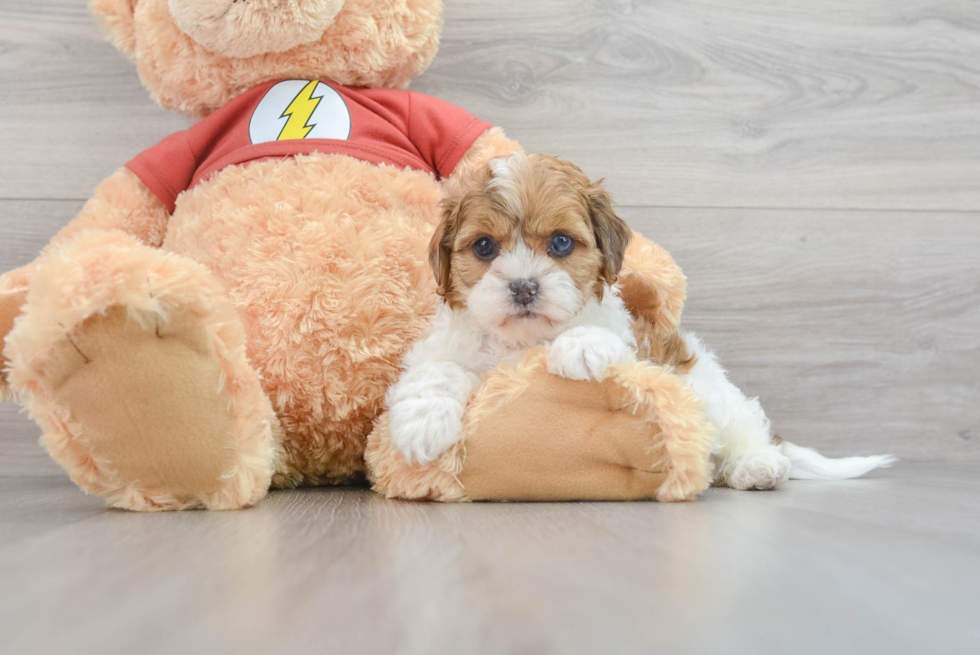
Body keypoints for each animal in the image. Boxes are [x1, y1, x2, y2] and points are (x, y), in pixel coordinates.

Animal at [386, 154, 892, 490]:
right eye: (484, 247)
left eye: (561, 243)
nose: (524, 287)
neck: (521, 341)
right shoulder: (445, 347)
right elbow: (436, 371)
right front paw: (421, 423)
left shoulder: (632, 344)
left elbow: (599, 336)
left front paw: (579, 346)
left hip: (713, 393)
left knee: (741, 430)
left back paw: (757, 467)